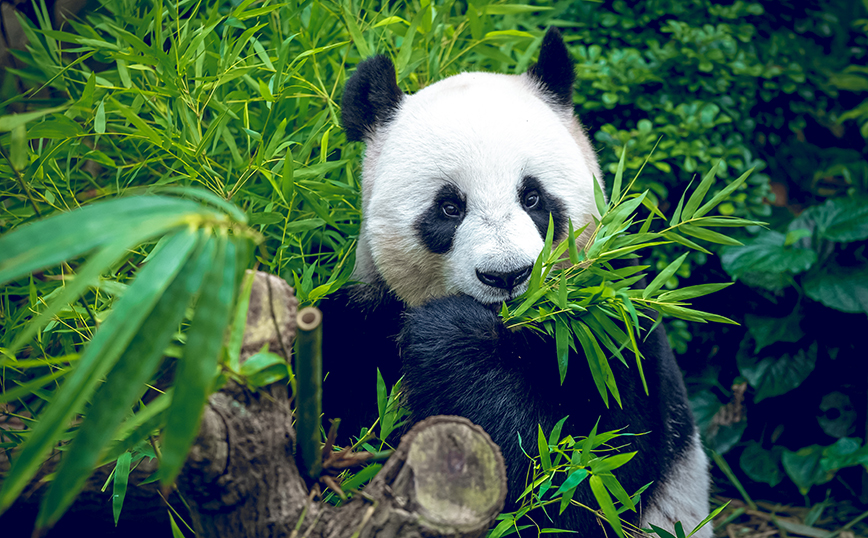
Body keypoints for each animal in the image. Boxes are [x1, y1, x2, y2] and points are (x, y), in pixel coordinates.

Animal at [320, 28, 712, 532]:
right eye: (449, 207)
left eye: (532, 197)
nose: (506, 275)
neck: (516, 329)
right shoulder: (360, 328)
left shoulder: (613, 337)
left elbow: (584, 480)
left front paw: (449, 335)